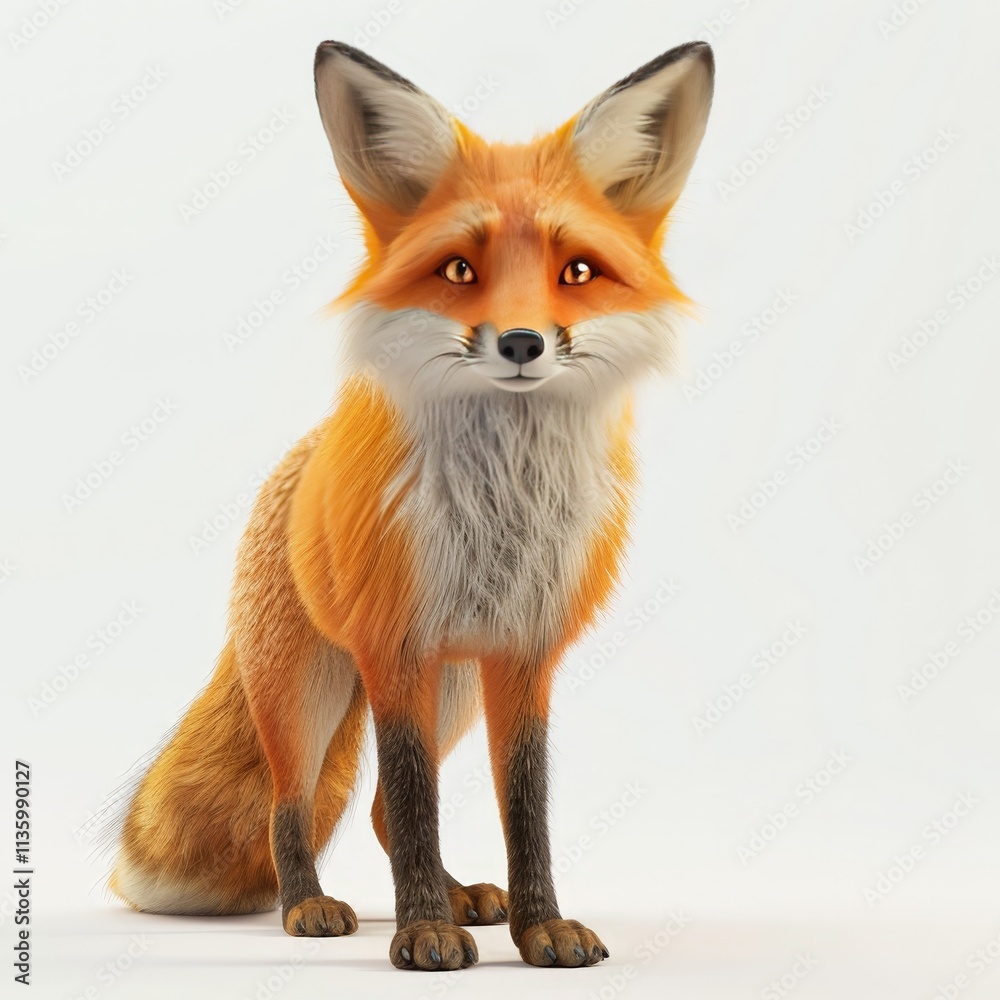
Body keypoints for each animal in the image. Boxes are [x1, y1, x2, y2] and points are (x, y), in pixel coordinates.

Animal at [109, 39, 714, 971]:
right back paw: (309, 905)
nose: (522, 343)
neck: (503, 511)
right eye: (460, 269)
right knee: (293, 807)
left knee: (376, 812)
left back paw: (463, 897)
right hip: (309, 692)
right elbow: (414, 795)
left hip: (453, 688)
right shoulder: (394, 651)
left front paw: (538, 926)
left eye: (576, 271)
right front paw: (421, 929)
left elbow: (524, 809)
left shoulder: (523, 656)